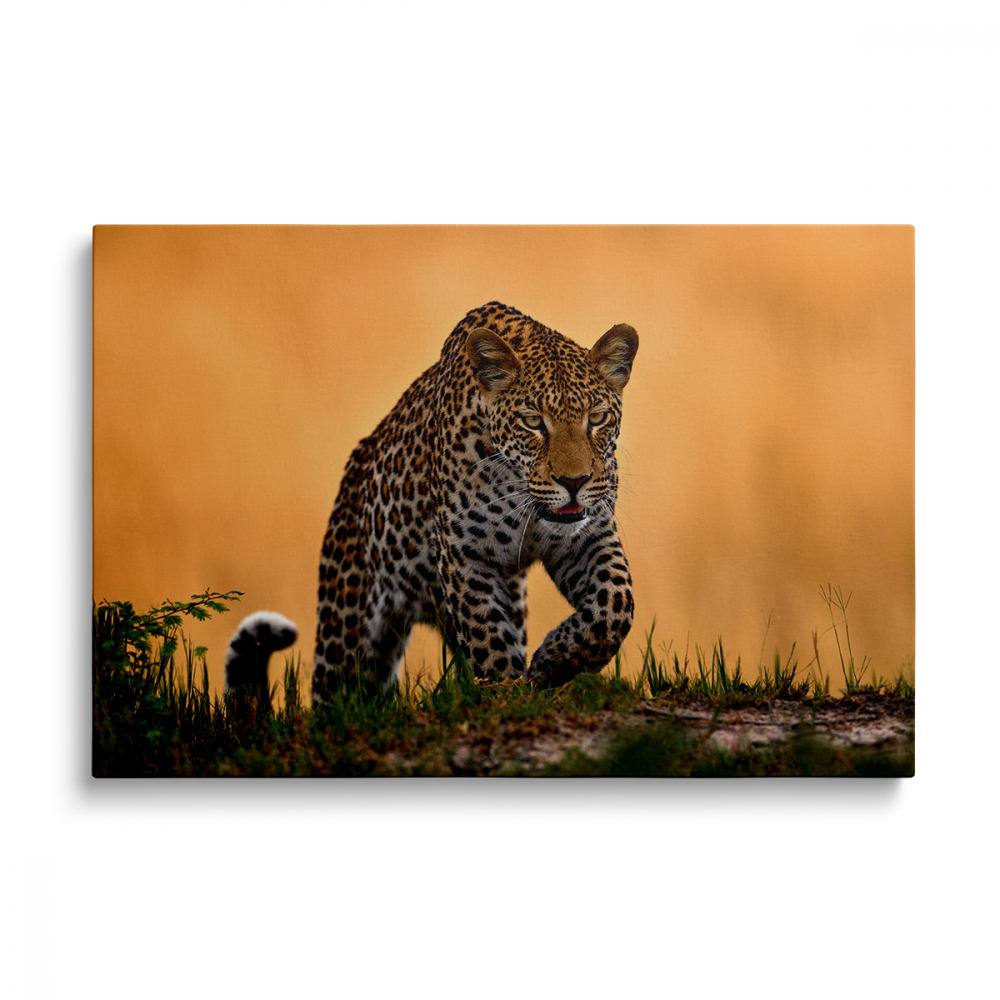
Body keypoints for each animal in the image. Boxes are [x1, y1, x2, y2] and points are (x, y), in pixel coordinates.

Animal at [310, 301, 639, 704]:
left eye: (597, 418)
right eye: (533, 422)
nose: (574, 482)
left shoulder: (589, 536)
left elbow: (615, 604)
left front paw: (554, 661)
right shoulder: (465, 555)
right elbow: (487, 634)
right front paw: (506, 693)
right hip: (343, 623)